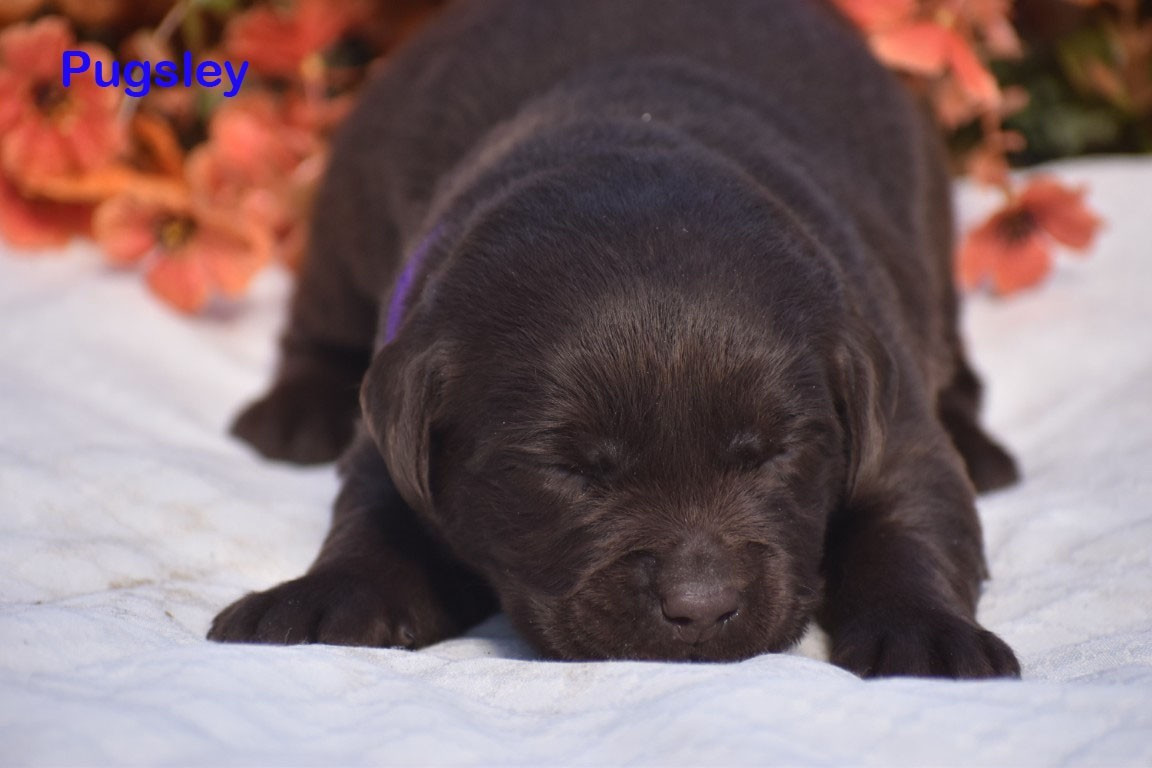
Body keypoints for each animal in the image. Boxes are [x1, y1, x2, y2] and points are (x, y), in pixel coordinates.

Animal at [209, 0, 1022, 678]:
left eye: (773, 454)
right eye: (569, 470)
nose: (700, 608)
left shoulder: (887, 402)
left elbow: (914, 516)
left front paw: (925, 636)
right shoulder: (397, 424)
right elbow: (378, 520)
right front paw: (324, 598)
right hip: (350, 201)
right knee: (321, 319)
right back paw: (294, 413)